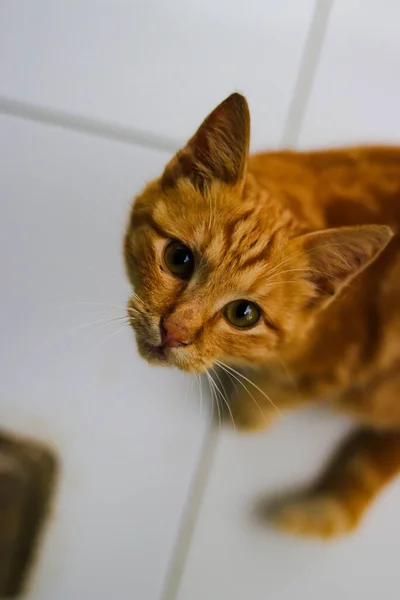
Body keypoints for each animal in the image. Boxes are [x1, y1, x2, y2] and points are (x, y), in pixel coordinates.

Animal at [123, 94, 400, 540]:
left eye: (244, 313)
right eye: (179, 258)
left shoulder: (333, 371)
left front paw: (245, 411)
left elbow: (277, 395)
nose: (174, 332)